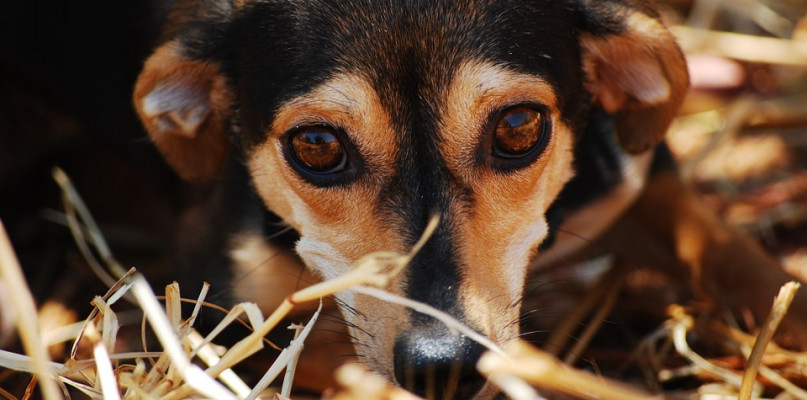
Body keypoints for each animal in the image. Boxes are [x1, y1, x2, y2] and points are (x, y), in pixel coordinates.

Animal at [131, 1, 807, 398]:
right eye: (317, 146)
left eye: (518, 126)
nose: (442, 366)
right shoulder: (221, 312)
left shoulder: (637, 176)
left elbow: (735, 257)